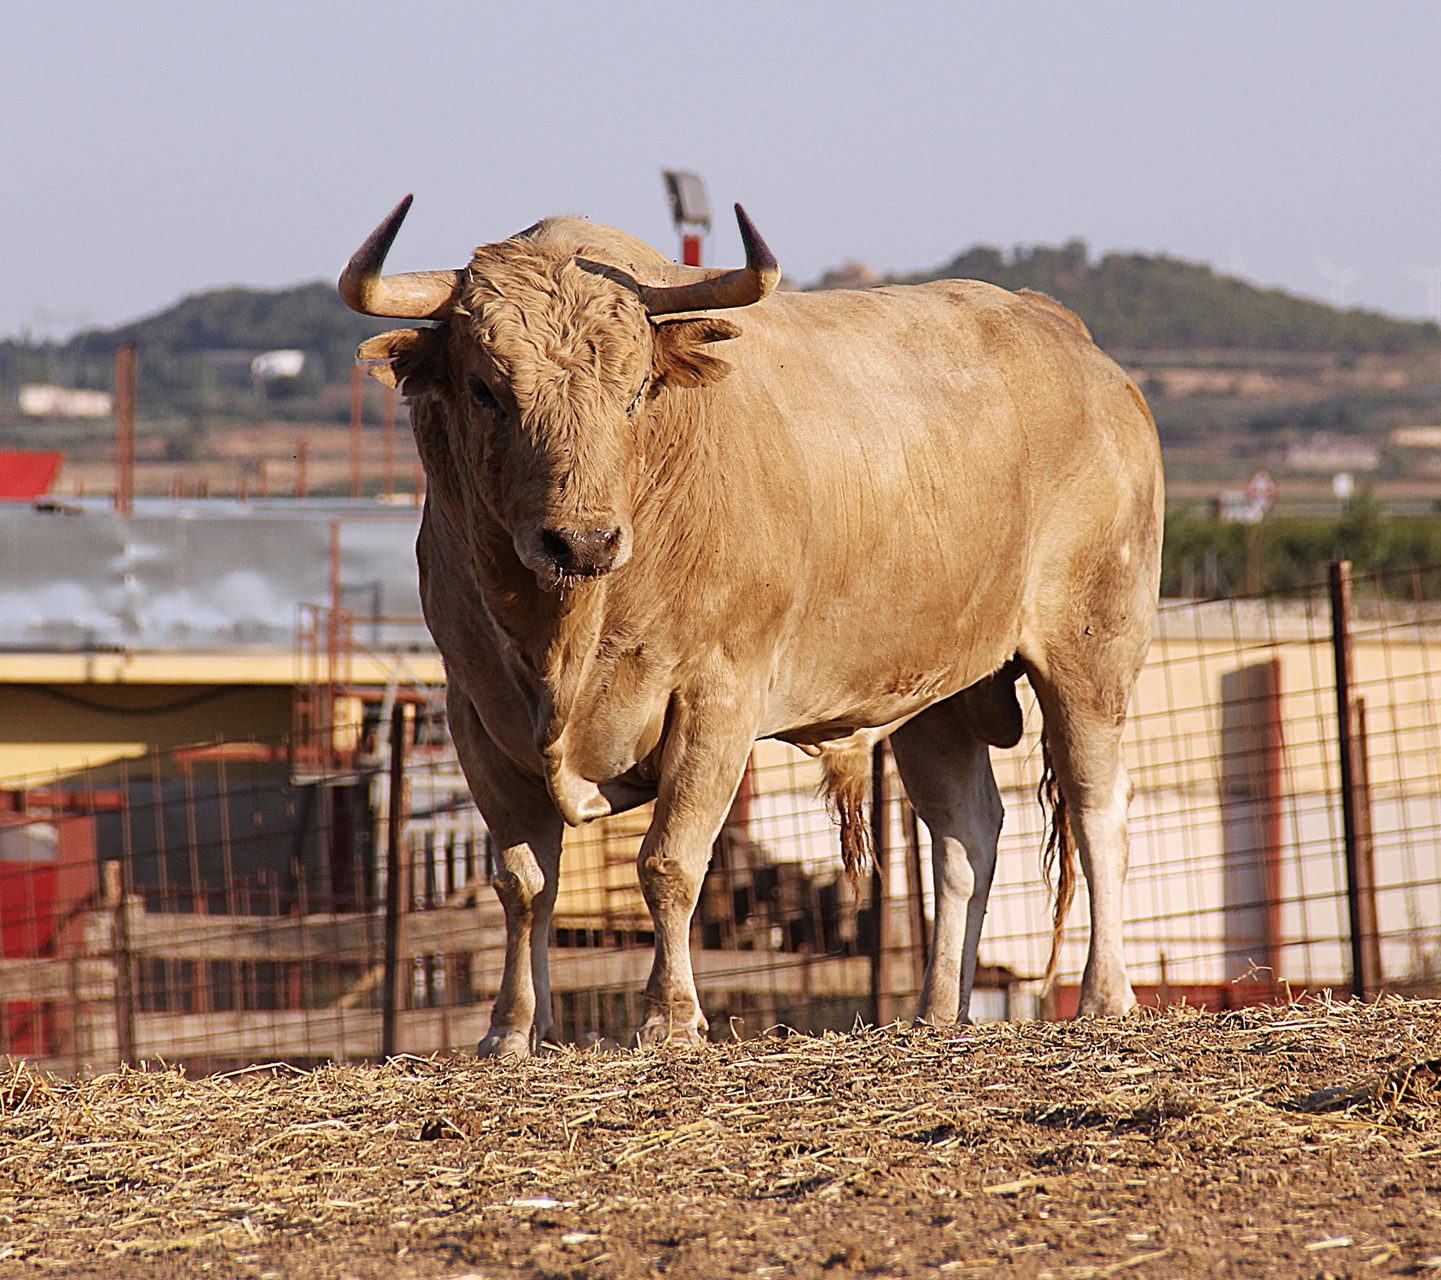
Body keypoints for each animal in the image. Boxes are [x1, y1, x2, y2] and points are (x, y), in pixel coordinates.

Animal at [342, 194, 1164, 1055]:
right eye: (485, 390)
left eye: (635, 392)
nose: (583, 542)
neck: (563, 635)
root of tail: (1071, 341)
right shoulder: (475, 712)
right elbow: (525, 880)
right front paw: (513, 1030)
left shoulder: (717, 700)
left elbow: (668, 863)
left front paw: (670, 1019)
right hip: (934, 693)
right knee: (963, 835)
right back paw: (937, 1012)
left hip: (1091, 650)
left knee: (1097, 807)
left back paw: (1105, 995)